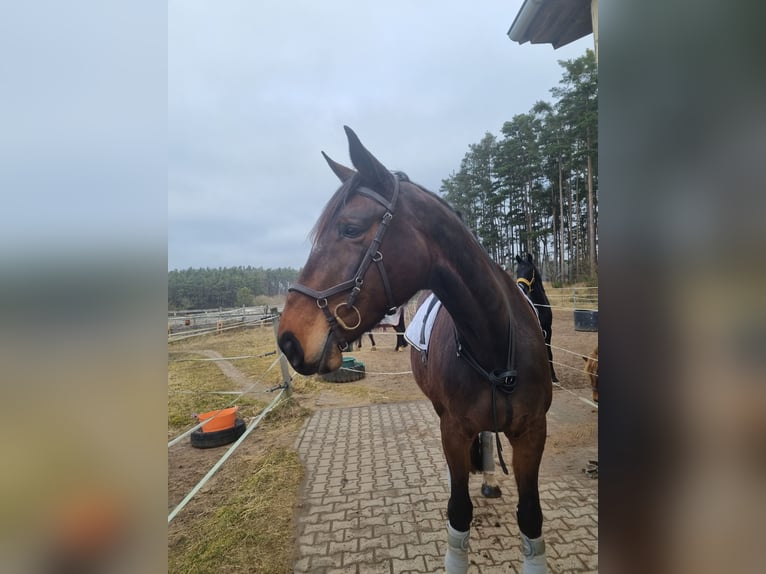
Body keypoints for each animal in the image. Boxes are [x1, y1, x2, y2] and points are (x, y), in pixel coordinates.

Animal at [512, 254, 560, 384]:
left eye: (530, 271)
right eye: (517, 271)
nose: (520, 287)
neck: (539, 305)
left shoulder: (548, 330)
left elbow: (549, 354)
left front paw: (553, 377)